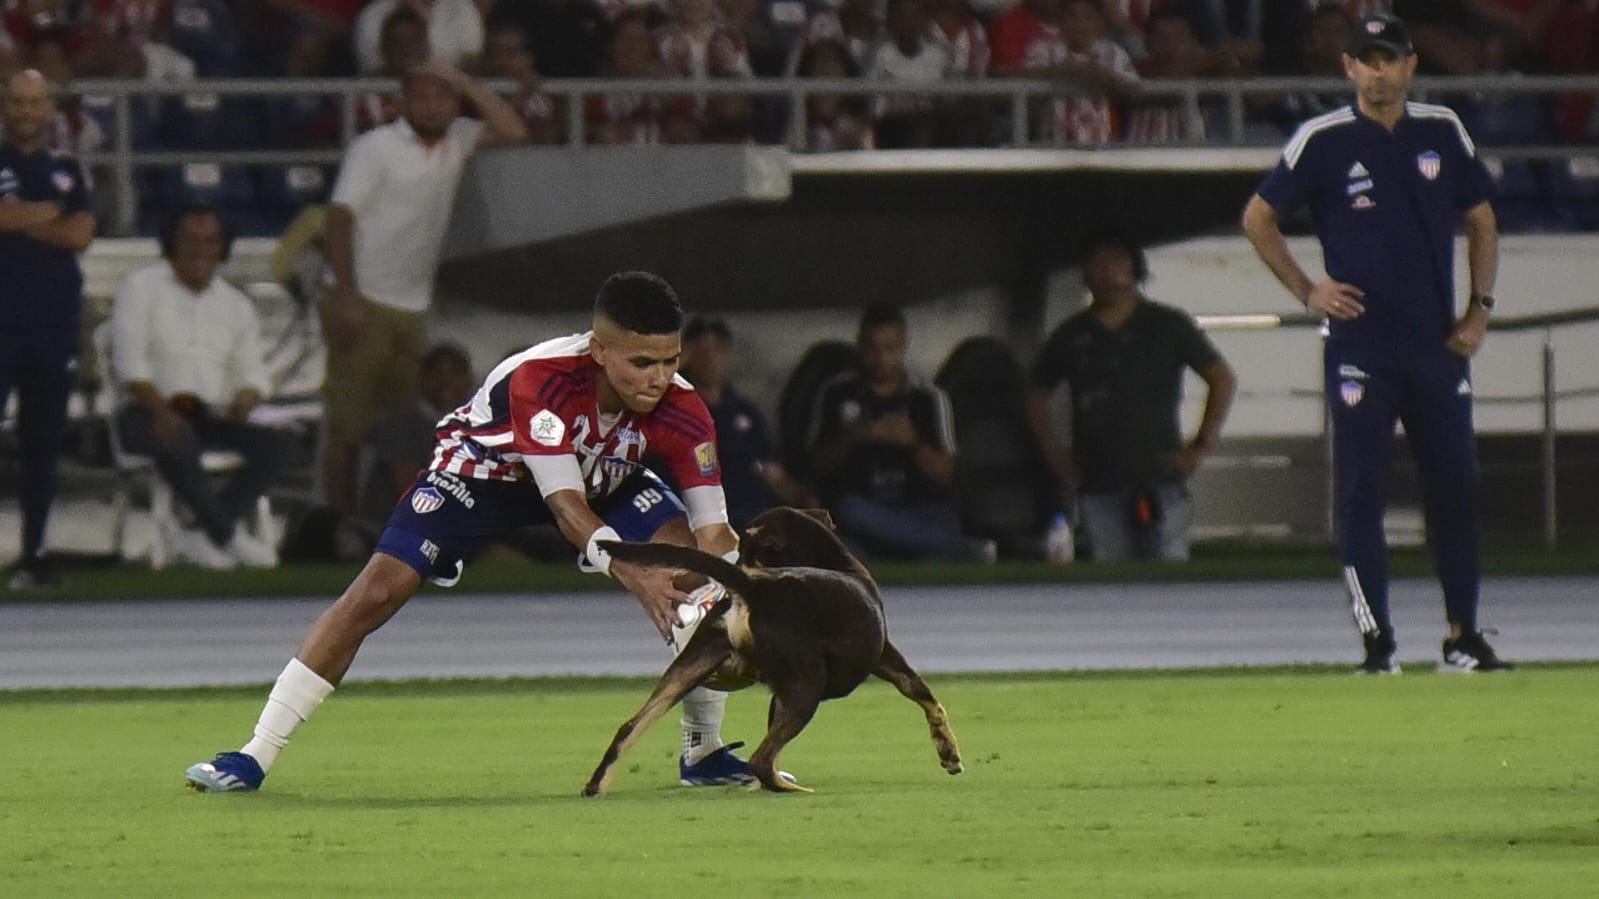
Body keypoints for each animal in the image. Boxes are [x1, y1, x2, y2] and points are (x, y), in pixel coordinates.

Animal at [585, 505, 959, 790]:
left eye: (746, 551)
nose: (733, 571)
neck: (839, 564)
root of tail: (752, 587)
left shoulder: (778, 694)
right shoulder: (884, 655)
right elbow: (924, 694)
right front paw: (950, 755)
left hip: (686, 670)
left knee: (629, 727)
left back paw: (596, 786)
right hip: (806, 687)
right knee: (761, 760)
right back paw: (791, 789)